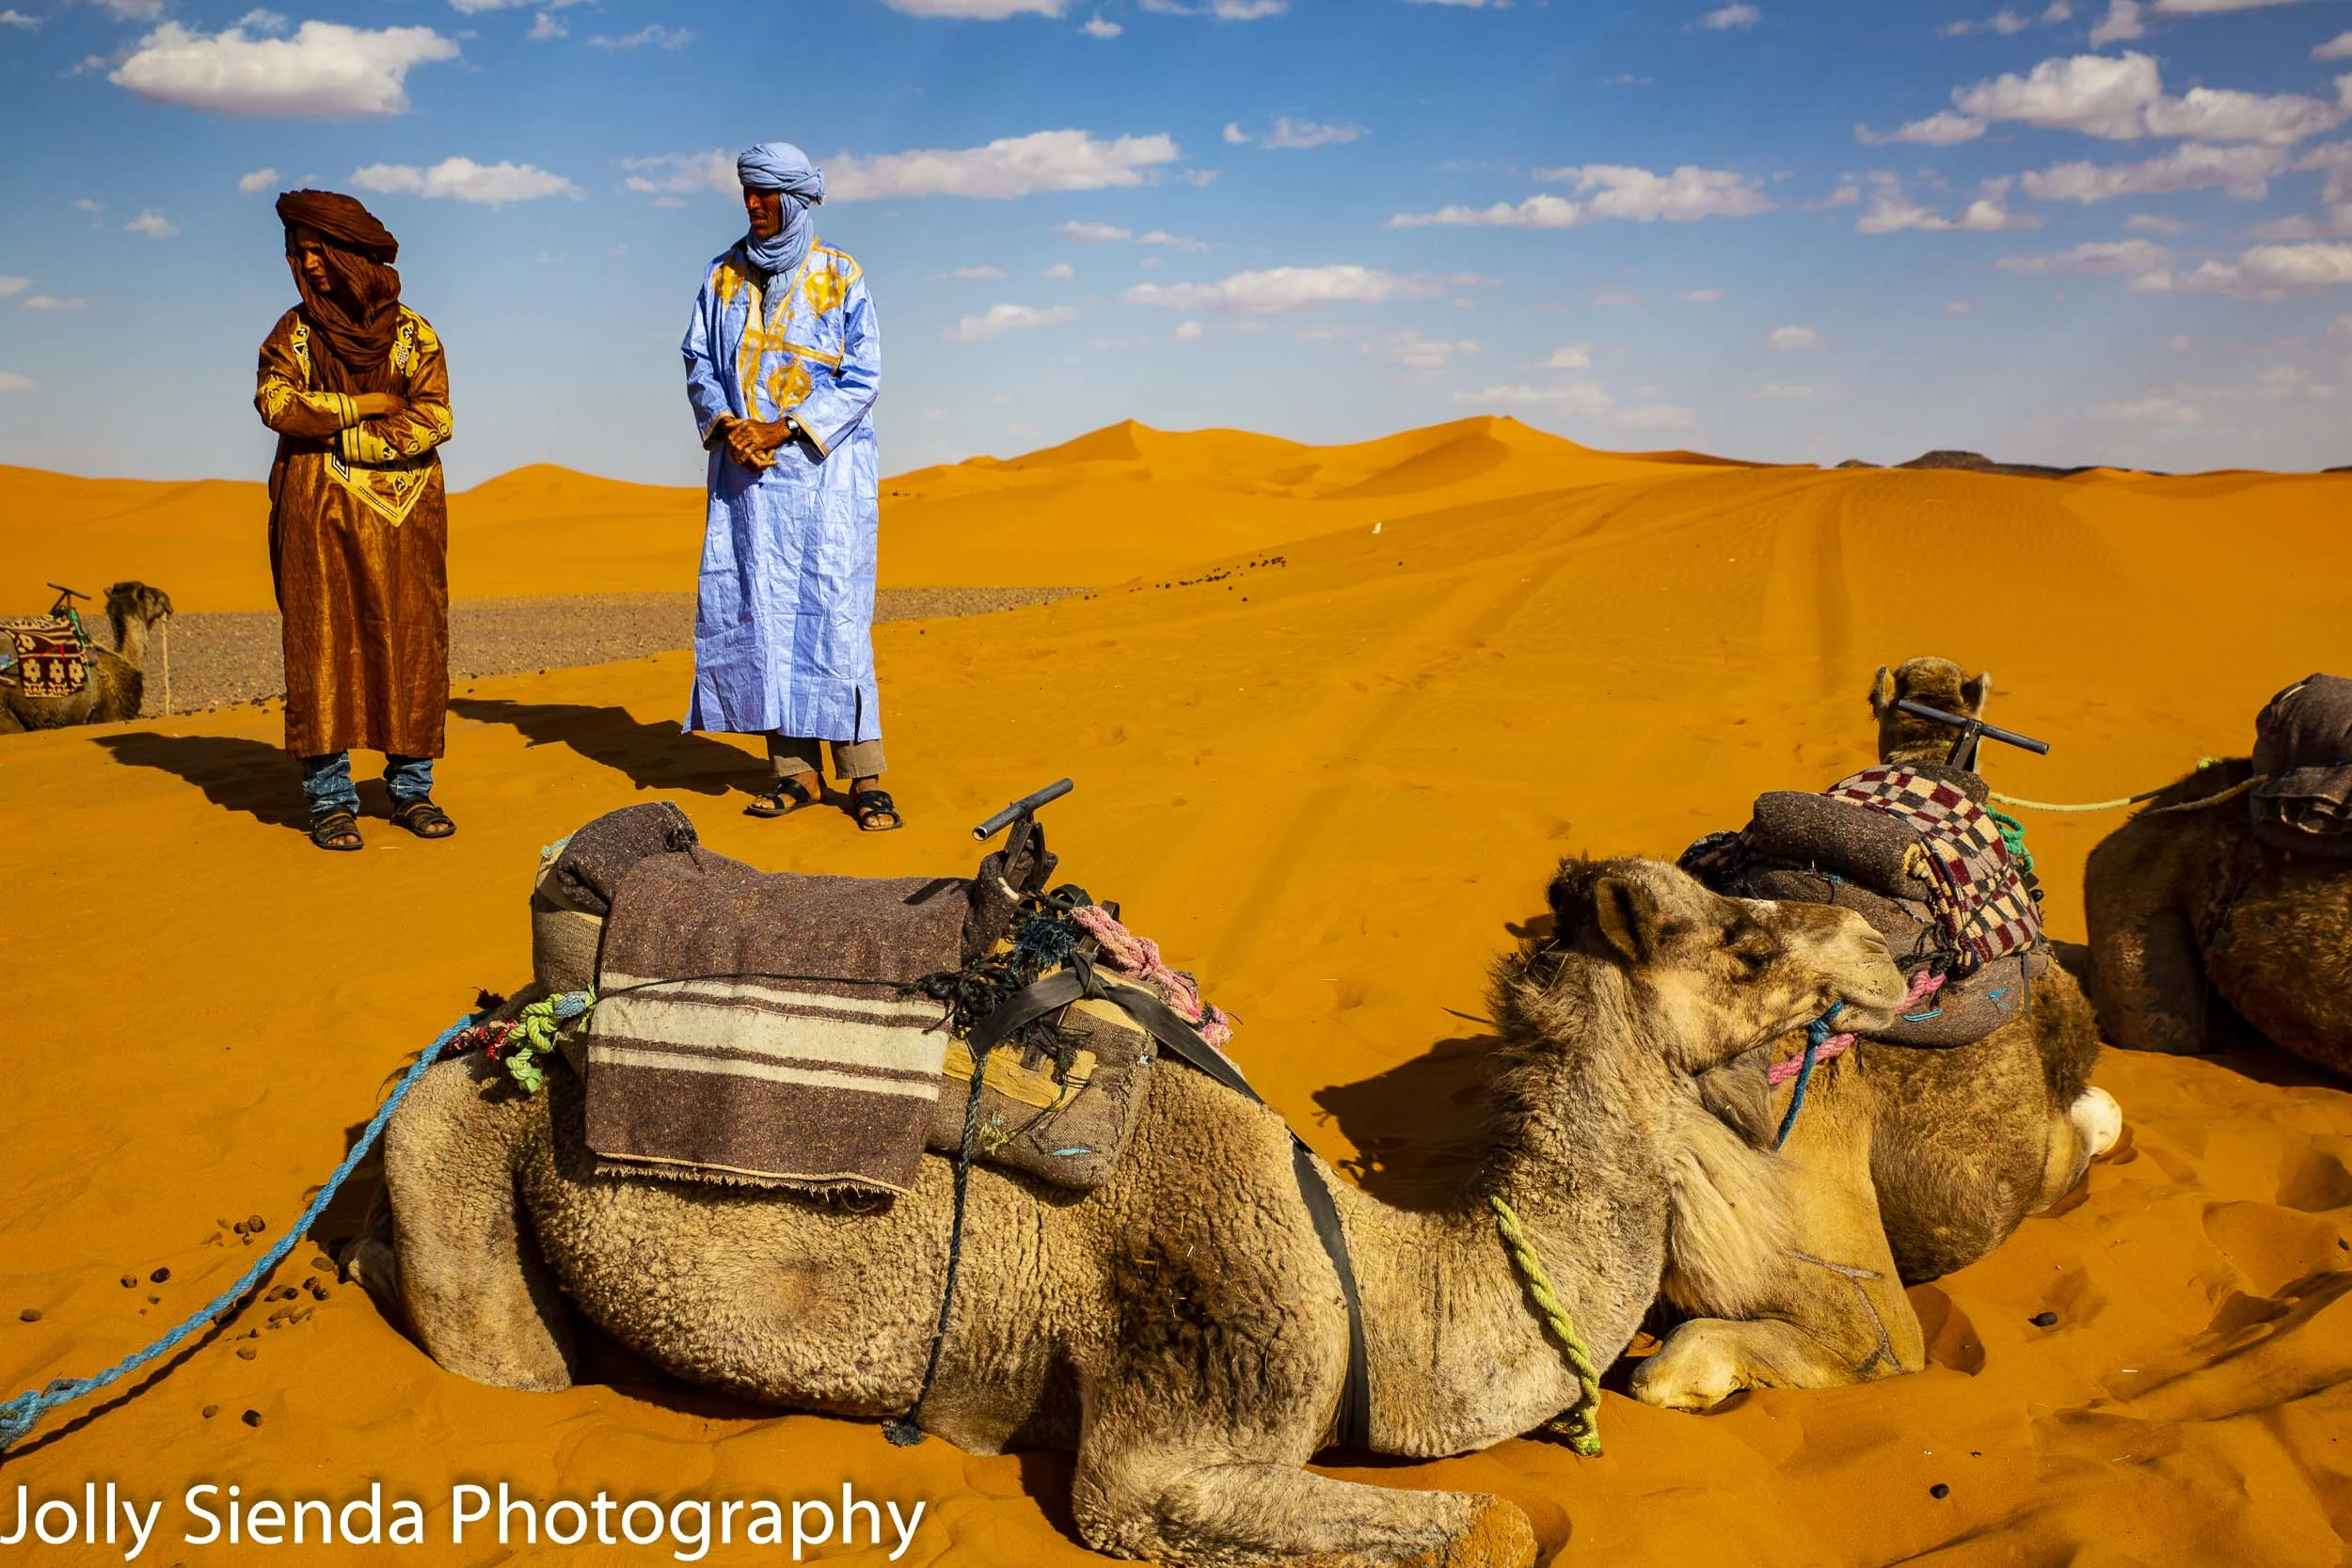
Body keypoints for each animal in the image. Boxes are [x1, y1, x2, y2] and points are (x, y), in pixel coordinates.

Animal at [349, 857, 1908, 1568]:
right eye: (1746, 933)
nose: (1889, 947)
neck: (1380, 1276)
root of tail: (489, 1023)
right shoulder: (1177, 1423)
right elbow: (1494, 1524)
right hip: (466, 1174)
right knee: (498, 1346)